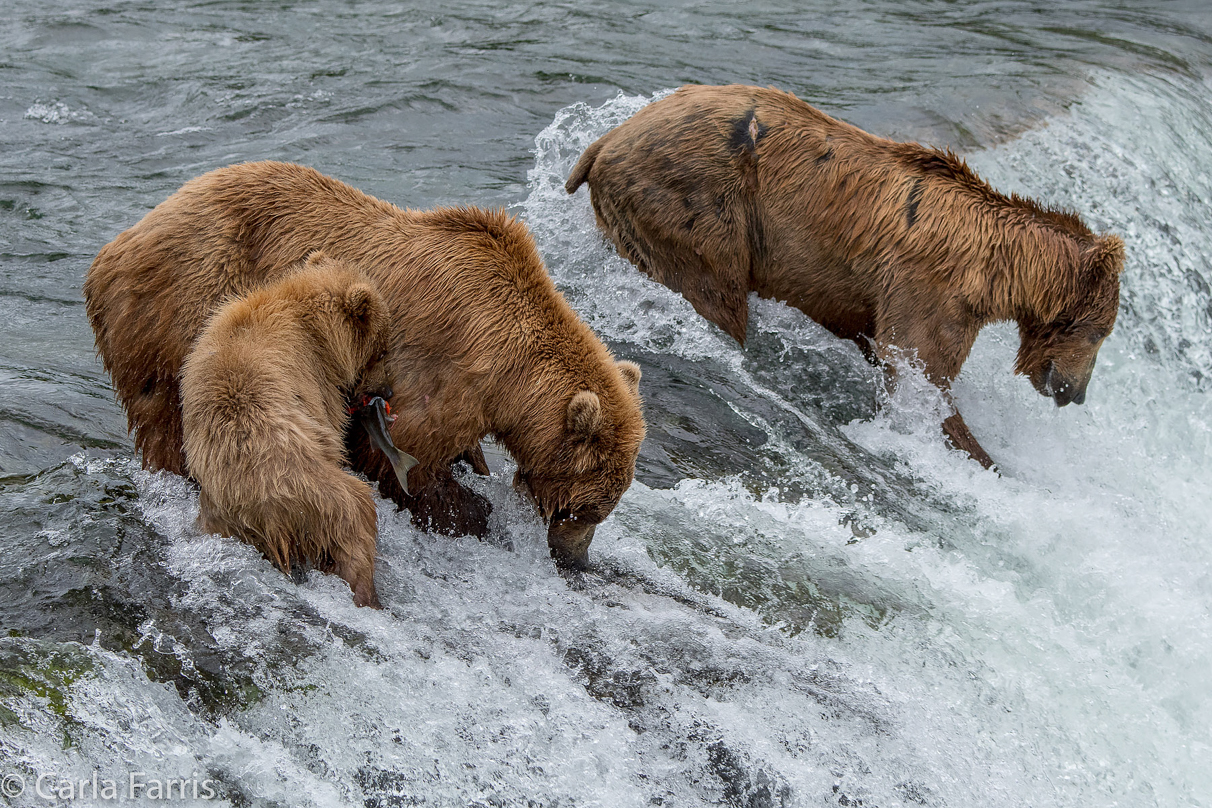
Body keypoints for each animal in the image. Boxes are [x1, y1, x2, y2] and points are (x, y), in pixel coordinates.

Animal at [86, 162, 649, 569]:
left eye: (604, 506)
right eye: (588, 508)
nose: (575, 557)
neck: (512, 375)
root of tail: (114, 246)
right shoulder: (444, 372)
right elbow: (405, 458)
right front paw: (470, 511)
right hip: (182, 307)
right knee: (169, 420)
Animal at [179, 255, 392, 610]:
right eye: (382, 349)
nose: (387, 391)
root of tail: (270, 512)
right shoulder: (315, 380)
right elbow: (331, 425)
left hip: (223, 512)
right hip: (316, 493)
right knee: (356, 518)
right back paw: (367, 593)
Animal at [567, 83, 1124, 467]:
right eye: (1100, 331)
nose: (1075, 392)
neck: (996, 272)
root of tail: (605, 141)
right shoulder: (929, 289)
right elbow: (922, 370)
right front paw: (982, 457)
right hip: (696, 203)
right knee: (714, 295)